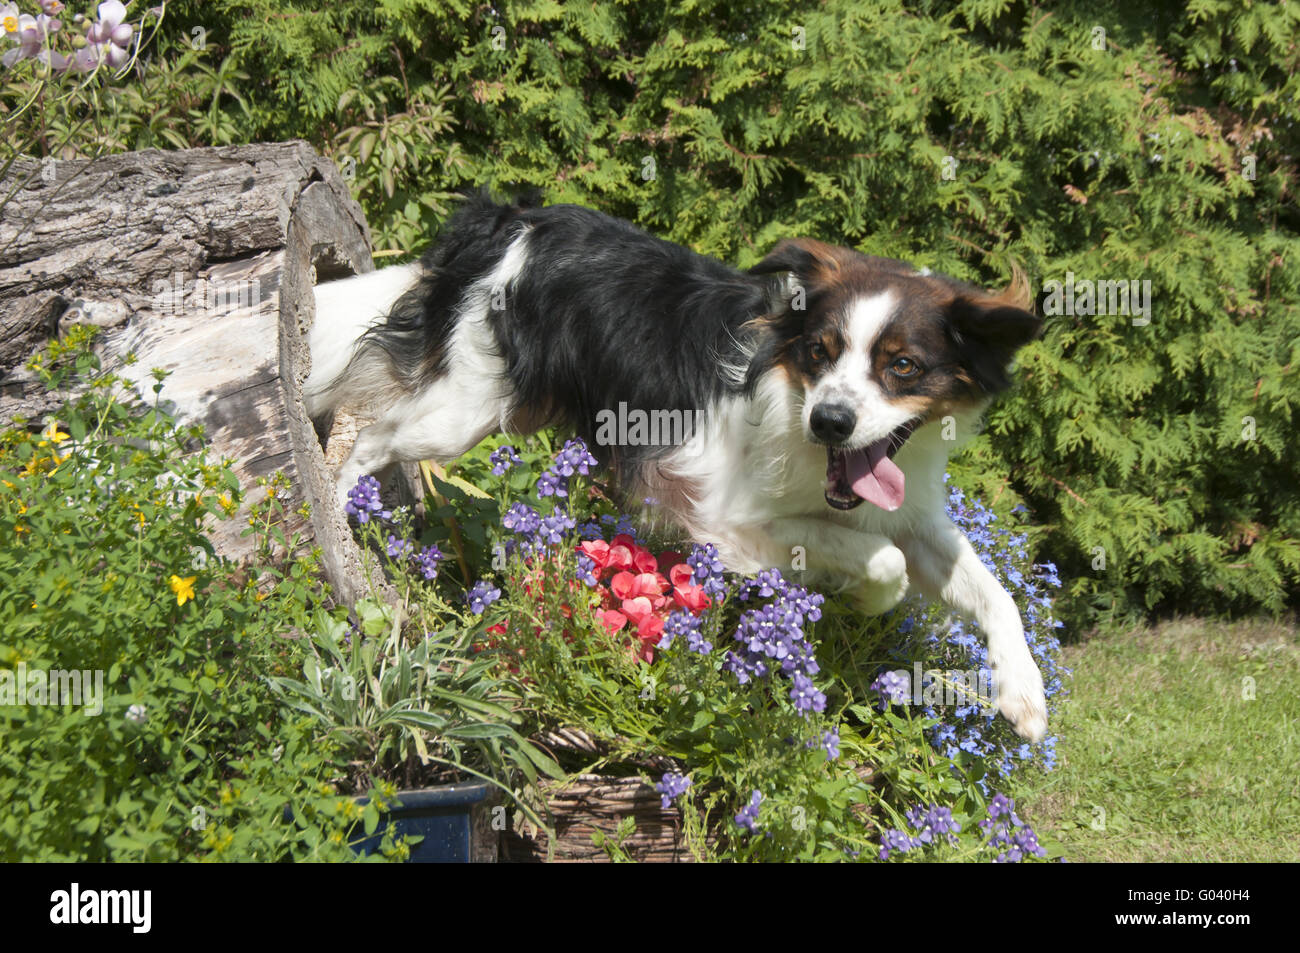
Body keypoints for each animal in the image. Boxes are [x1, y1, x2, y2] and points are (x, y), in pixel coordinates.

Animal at [304, 193, 1045, 738]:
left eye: (903, 367)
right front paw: (862, 597)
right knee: (362, 434)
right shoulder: (728, 518)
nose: (831, 420)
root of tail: (516, 219)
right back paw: (338, 526)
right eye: (820, 353)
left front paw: (1024, 692)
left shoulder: (911, 512)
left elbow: (991, 588)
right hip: (458, 414)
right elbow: (883, 561)